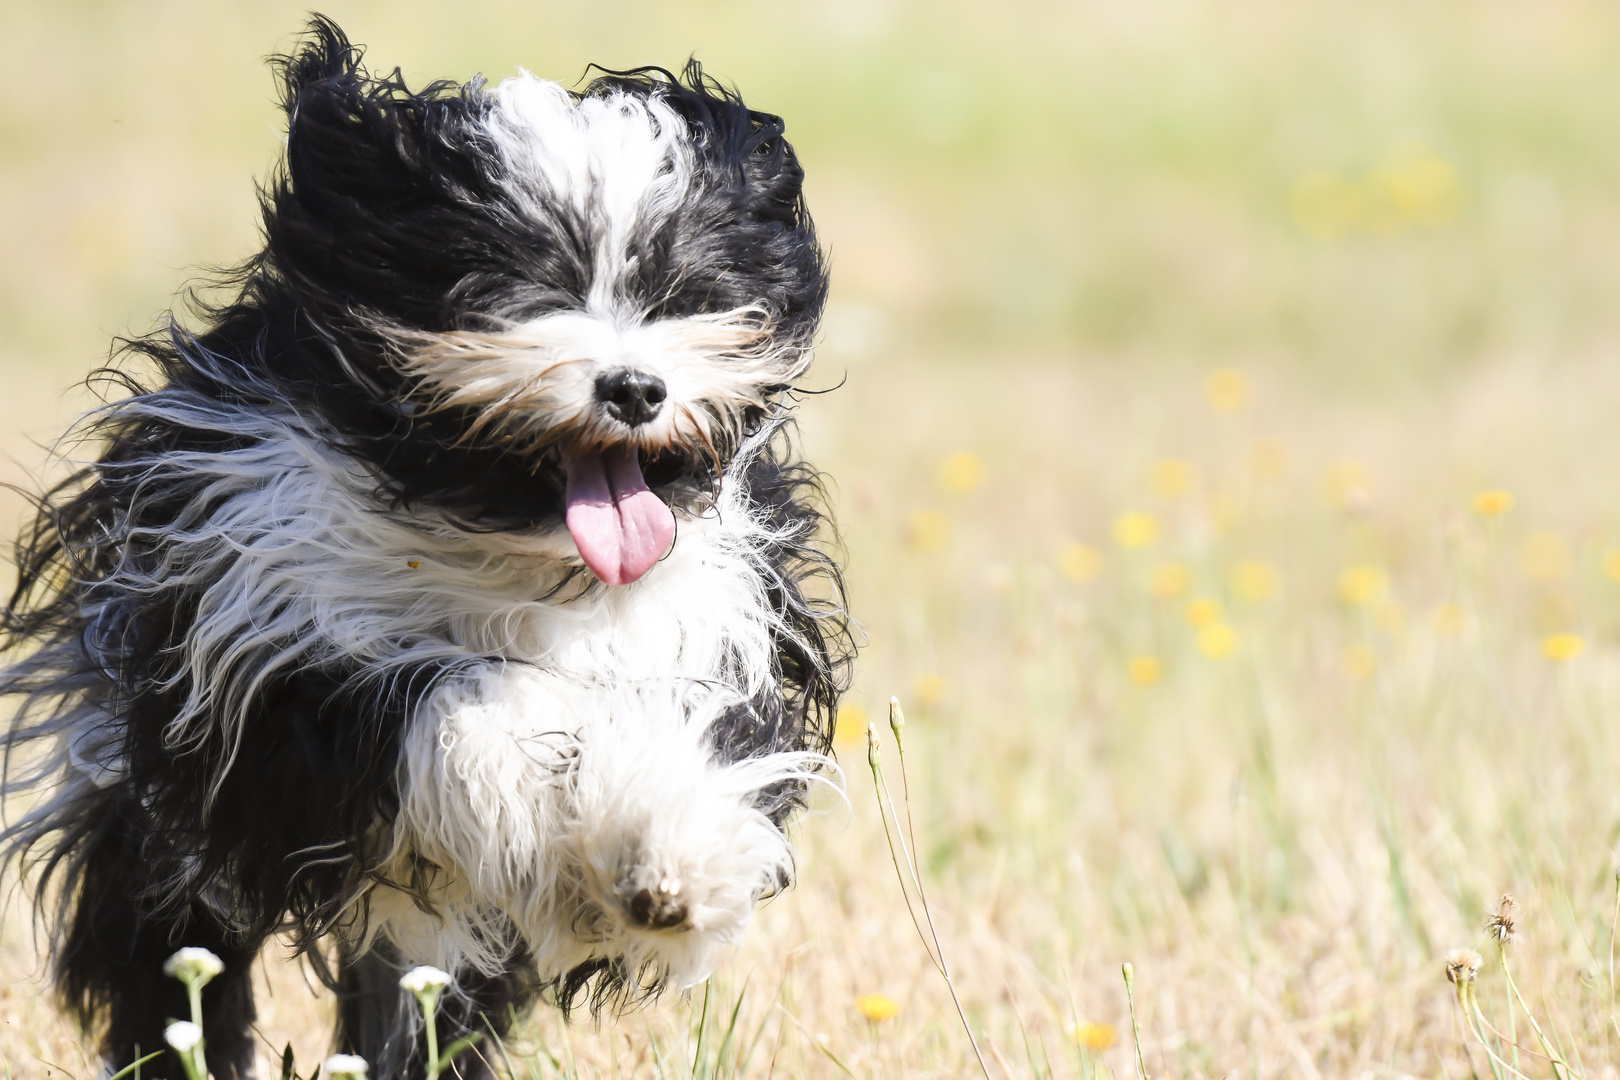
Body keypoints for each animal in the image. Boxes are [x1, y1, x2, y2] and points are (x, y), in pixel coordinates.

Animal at [0, 19, 855, 1080]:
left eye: (680, 291)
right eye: (523, 288)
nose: (634, 389)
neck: (514, 554)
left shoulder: (712, 622)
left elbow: (687, 739)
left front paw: (668, 869)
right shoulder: (266, 664)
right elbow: (454, 697)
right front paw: (526, 792)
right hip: (154, 824)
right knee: (171, 960)